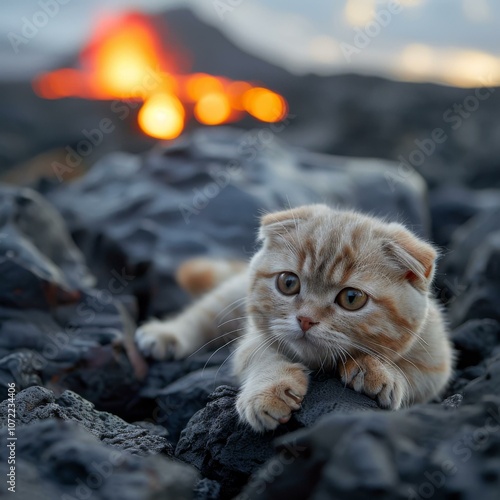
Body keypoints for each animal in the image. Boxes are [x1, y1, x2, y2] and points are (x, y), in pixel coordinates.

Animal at [136, 205, 454, 432]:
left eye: (352, 298)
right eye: (288, 283)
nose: (305, 319)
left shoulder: (437, 362)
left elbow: (413, 374)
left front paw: (378, 370)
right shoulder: (254, 339)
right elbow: (262, 357)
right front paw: (269, 390)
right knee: (202, 313)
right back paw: (166, 334)